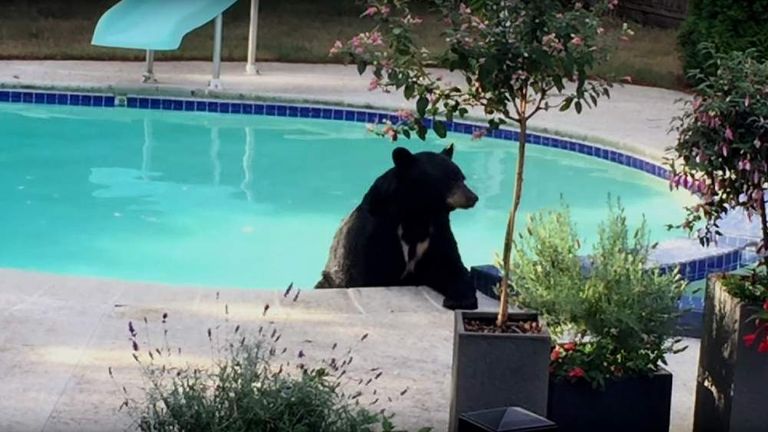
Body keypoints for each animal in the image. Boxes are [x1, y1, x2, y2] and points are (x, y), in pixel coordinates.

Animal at [316, 145, 476, 310]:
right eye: (450, 179)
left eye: (462, 178)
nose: (473, 197)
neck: (418, 214)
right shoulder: (378, 230)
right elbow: (374, 270)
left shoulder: (437, 230)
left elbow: (449, 265)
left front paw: (460, 299)